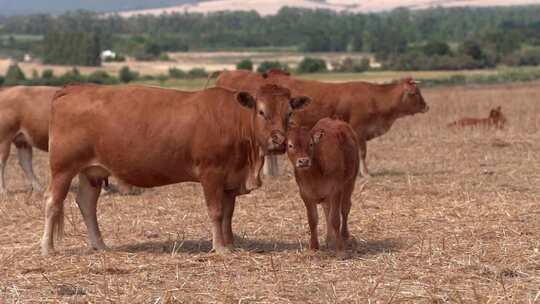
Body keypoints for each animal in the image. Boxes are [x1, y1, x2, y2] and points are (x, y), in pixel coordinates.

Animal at [41, 82, 312, 254]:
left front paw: (231, 244)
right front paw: (220, 248)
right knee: (52, 202)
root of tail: (72, 90)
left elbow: (228, 214)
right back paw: (47, 248)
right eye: (261, 111)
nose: (278, 141)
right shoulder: (211, 174)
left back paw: (100, 245)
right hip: (63, 168)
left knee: (87, 204)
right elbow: (216, 212)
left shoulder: (230, 179)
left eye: (289, 112)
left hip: (92, 171)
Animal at [213, 70, 428, 177]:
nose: (426, 106)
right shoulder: (358, 130)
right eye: (415, 93)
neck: (374, 98)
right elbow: (362, 153)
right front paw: (365, 173)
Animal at [286, 117, 358, 255]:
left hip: (350, 181)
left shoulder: (336, 190)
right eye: (290, 145)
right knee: (327, 210)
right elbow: (313, 219)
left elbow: (335, 219)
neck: (315, 174)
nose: (303, 161)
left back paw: (344, 236)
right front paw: (314, 246)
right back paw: (330, 239)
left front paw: (340, 250)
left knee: (345, 208)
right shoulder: (305, 193)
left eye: (310, 144)